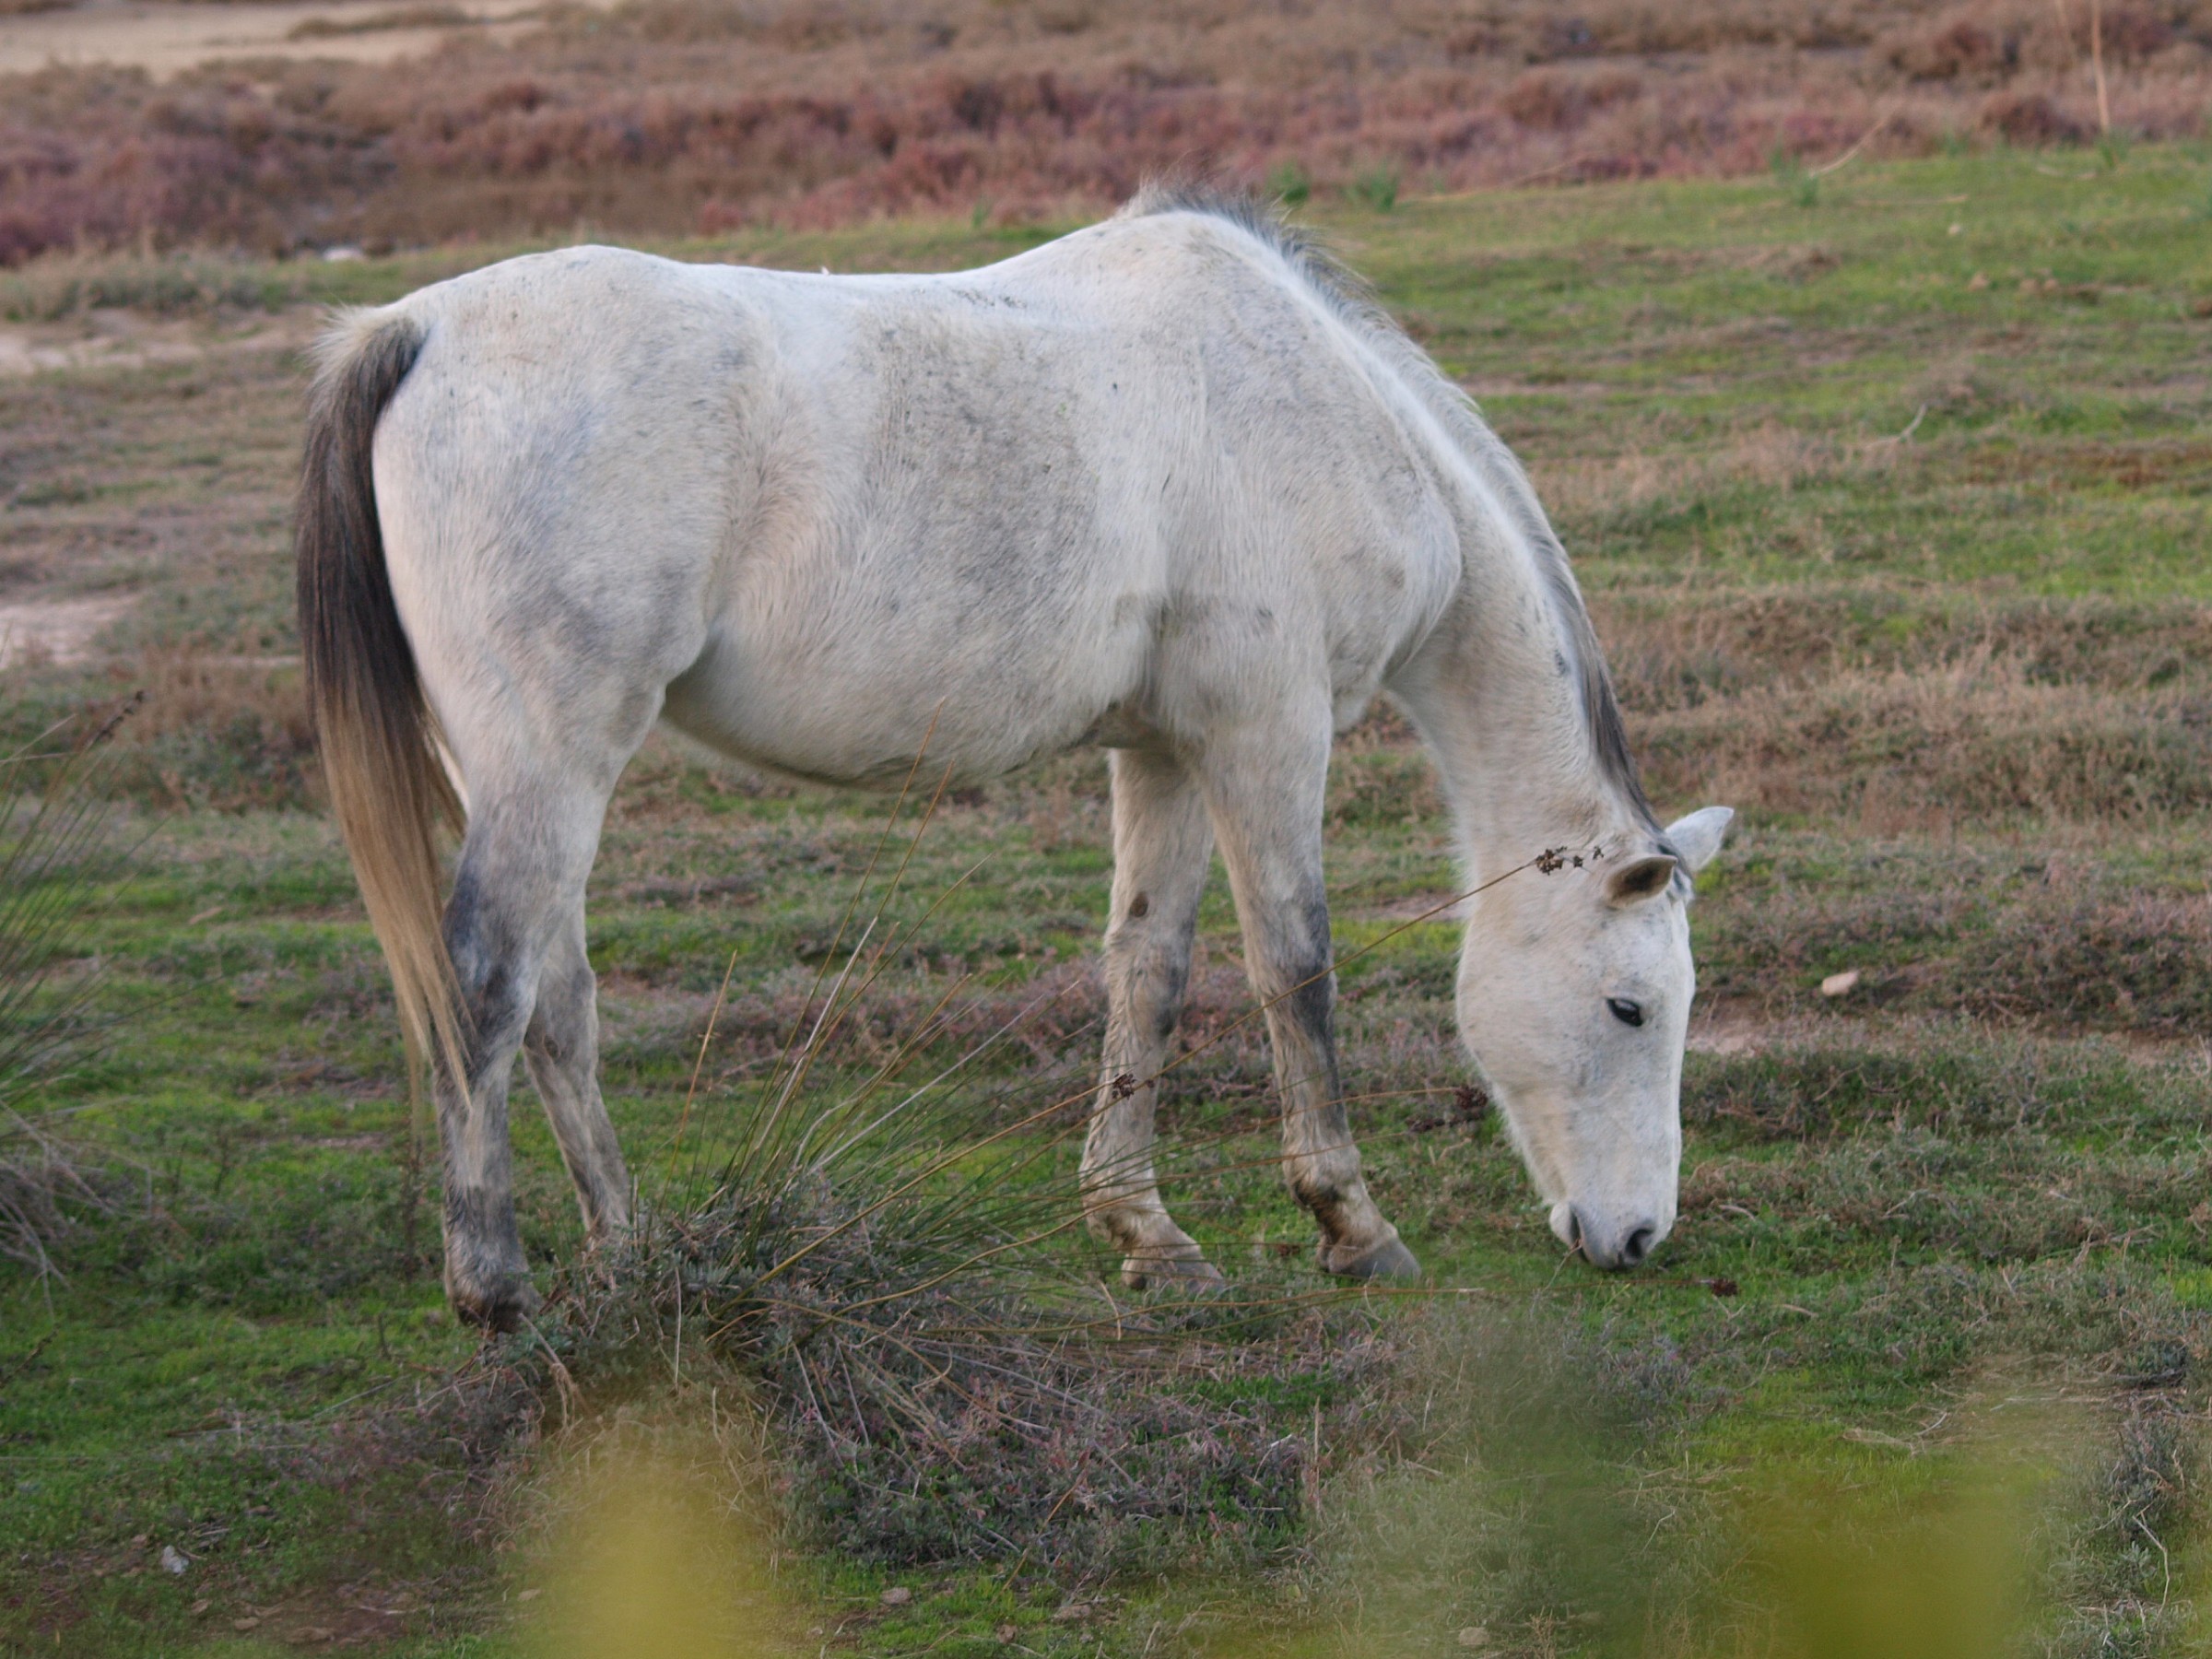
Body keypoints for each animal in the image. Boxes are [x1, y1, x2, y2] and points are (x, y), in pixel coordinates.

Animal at [296, 184, 1731, 1330]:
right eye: (1630, 1008)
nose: (1637, 1238)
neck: (1317, 403)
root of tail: (417, 332)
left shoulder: (1166, 751)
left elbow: (1148, 974)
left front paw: (1148, 1235)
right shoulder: (1266, 731)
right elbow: (1295, 970)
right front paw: (1351, 1227)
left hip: (515, 770)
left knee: (559, 1003)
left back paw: (627, 1252)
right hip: (549, 761)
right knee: (488, 985)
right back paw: (495, 1290)